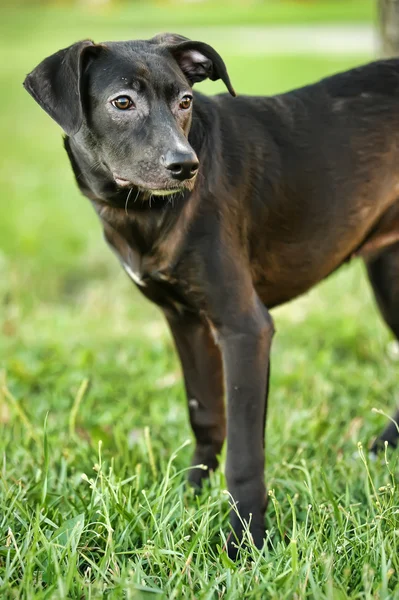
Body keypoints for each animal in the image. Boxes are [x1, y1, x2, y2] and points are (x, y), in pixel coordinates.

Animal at [24, 35, 399, 556]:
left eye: (185, 101)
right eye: (122, 102)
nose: (185, 167)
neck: (140, 212)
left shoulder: (244, 327)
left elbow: (244, 451)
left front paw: (246, 541)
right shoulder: (184, 320)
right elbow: (205, 415)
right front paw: (189, 497)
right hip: (389, 272)